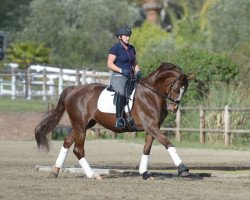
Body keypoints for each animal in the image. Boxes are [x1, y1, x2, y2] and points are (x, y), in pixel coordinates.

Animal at [35, 62, 191, 180]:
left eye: (185, 90)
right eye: (177, 87)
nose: (173, 108)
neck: (151, 93)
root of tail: (73, 89)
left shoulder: (152, 127)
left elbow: (146, 149)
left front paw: (145, 173)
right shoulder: (151, 126)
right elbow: (168, 143)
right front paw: (182, 169)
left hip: (84, 125)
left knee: (67, 142)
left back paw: (55, 171)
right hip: (80, 125)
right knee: (78, 149)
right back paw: (93, 175)